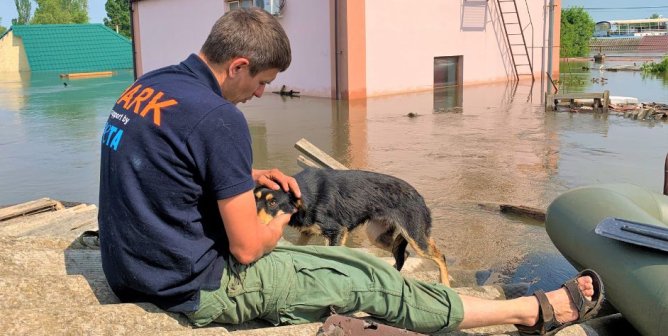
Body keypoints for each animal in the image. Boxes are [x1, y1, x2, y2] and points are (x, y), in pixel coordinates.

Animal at [253, 168, 452, 286]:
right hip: (377, 236)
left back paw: (445, 284)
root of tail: (419, 196)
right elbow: (299, 250)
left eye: (272, 203)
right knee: (403, 252)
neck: (304, 193)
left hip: (416, 236)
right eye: (253, 199)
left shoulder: (337, 231)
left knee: (439, 256)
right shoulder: (307, 233)